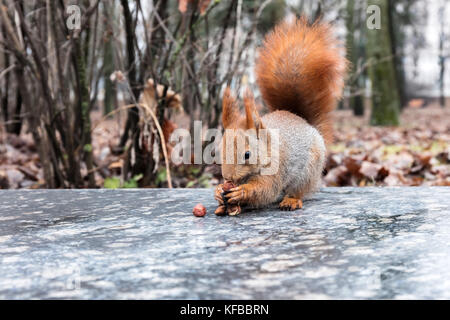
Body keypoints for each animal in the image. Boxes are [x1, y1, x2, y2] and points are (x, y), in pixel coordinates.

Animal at [214, 17, 348, 212]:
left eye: (247, 154)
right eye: (220, 152)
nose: (229, 178)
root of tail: (304, 121)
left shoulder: (276, 169)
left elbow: (266, 189)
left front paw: (242, 192)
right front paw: (218, 191)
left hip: (308, 172)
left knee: (298, 191)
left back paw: (291, 200)